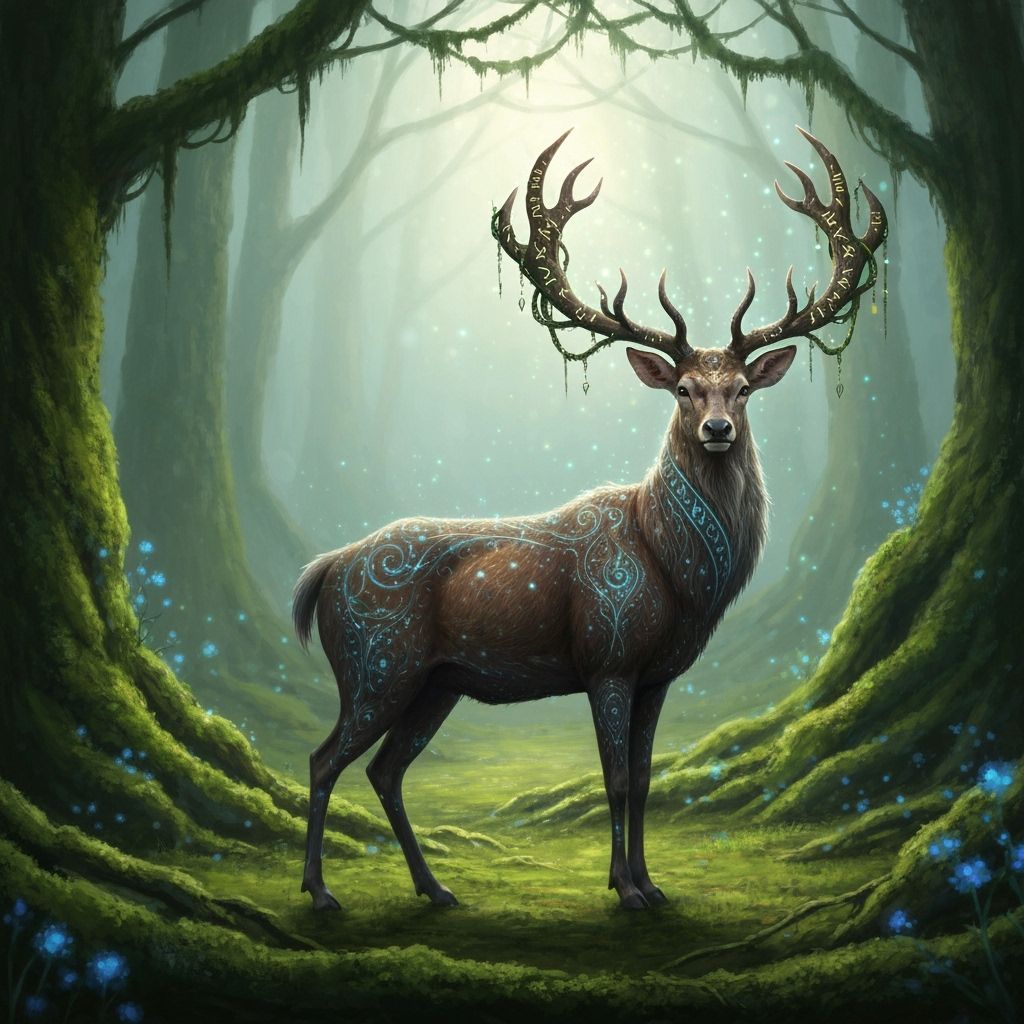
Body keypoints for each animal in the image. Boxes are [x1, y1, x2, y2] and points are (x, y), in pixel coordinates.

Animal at [293, 127, 886, 912]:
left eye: (742, 389)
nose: (719, 429)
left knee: (384, 770)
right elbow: (613, 776)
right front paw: (625, 891)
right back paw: (321, 892)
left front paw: (649, 883)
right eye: (685, 390)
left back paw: (435, 888)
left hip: (438, 683)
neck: (680, 576)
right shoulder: (608, 656)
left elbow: (644, 779)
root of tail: (326, 570)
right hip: (376, 663)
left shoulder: (658, 674)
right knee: (323, 758)